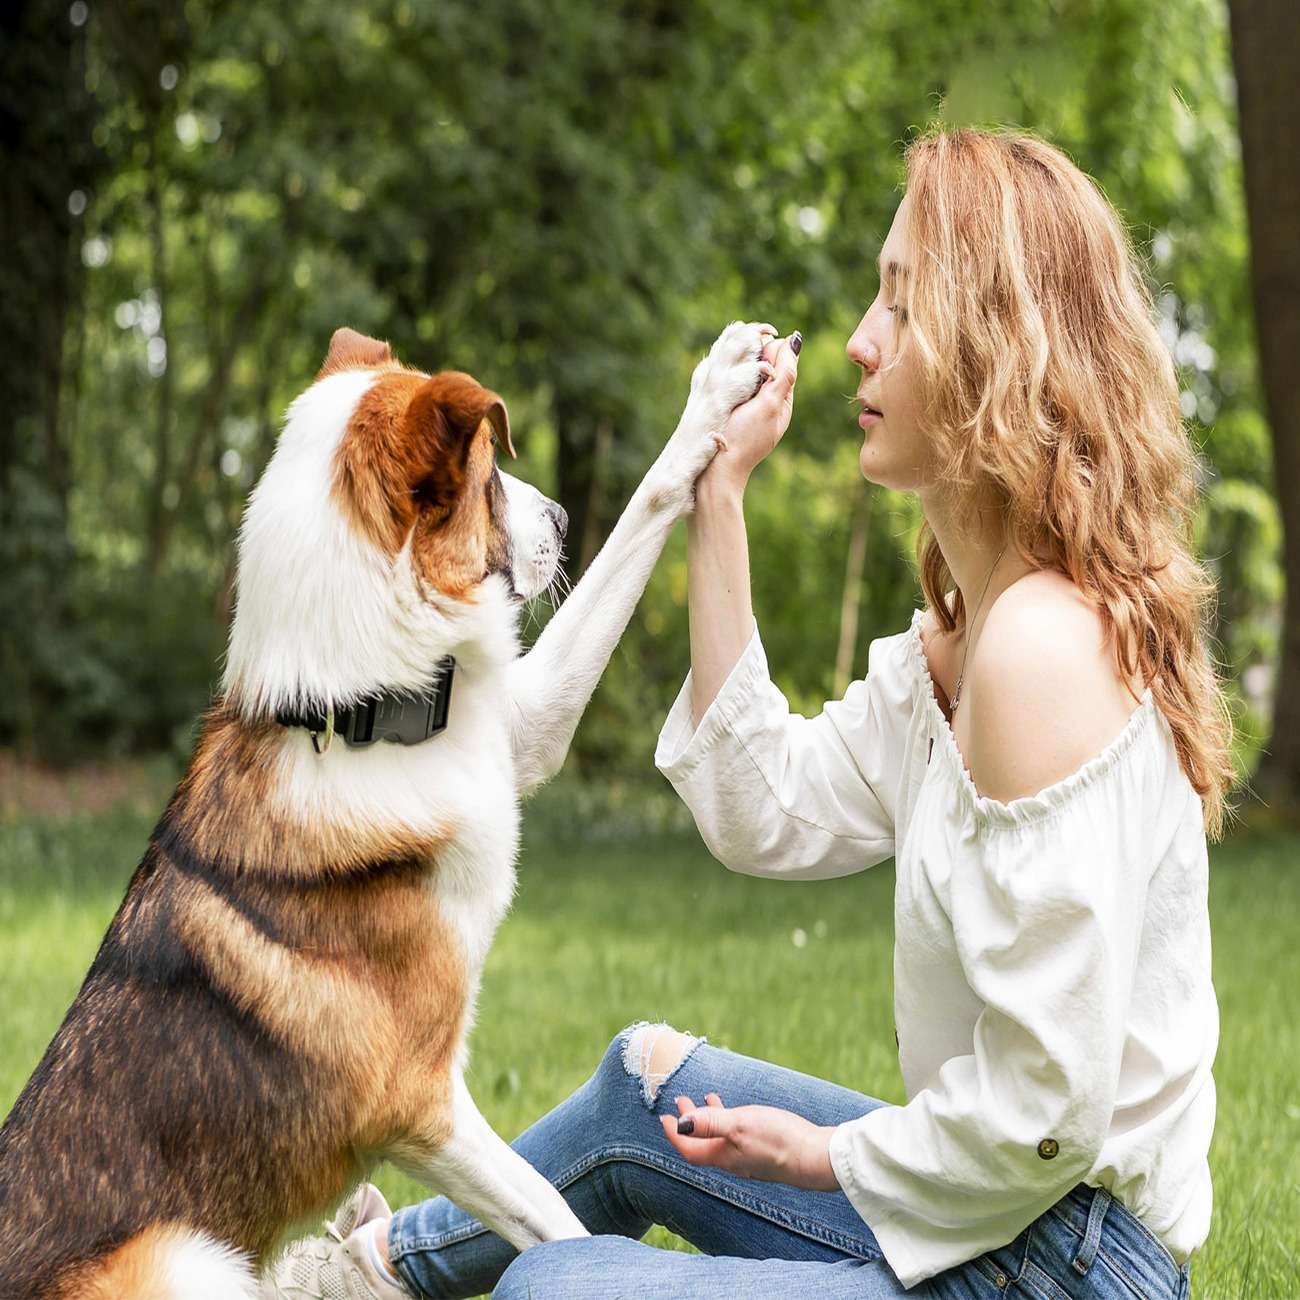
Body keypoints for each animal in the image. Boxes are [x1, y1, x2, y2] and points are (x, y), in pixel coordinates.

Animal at [0, 317, 769, 1300]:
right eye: (488, 477)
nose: (563, 519)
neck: (355, 717)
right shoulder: (424, 1107)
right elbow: (562, 1228)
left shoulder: (520, 728)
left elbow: (647, 506)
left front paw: (721, 390)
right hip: (182, 1257)